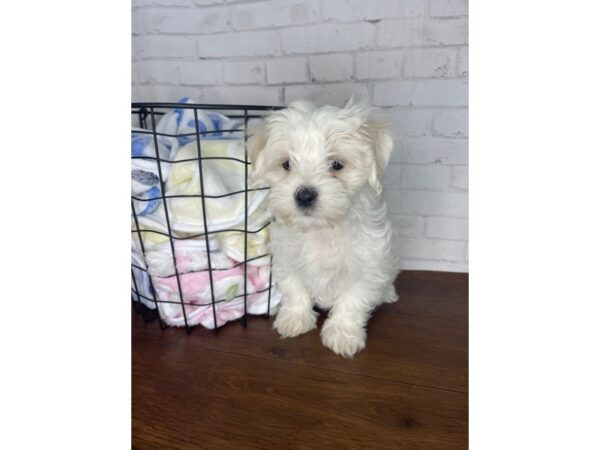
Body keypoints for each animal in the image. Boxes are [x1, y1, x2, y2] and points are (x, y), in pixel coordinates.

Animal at [247, 99, 398, 358]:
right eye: (287, 164)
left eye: (336, 164)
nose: (304, 196)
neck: (322, 230)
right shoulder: (287, 258)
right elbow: (294, 288)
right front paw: (295, 319)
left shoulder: (368, 264)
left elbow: (353, 300)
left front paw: (343, 335)